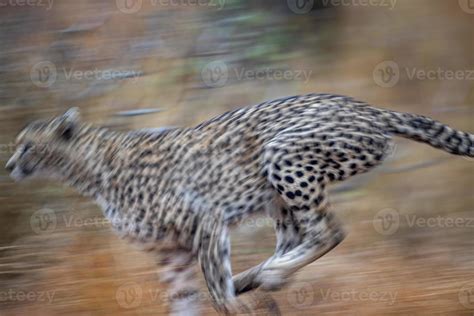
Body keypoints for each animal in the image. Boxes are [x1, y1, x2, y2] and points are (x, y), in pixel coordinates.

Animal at [6, 93, 474, 314]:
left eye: (28, 146)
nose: (9, 164)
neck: (89, 171)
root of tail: (368, 107)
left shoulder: (206, 222)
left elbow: (215, 292)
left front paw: (236, 305)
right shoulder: (172, 254)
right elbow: (183, 302)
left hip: (283, 155)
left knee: (328, 230)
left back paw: (268, 276)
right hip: (276, 198)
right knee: (294, 238)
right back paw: (257, 276)